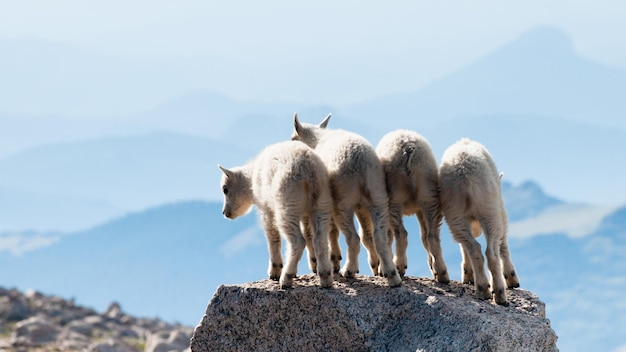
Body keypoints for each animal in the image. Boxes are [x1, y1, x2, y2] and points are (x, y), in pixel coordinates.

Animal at [216, 140, 332, 288]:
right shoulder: (306, 212)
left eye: (225, 189)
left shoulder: (266, 208)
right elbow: (309, 233)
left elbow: (272, 235)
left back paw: (286, 278)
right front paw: (313, 263)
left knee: (298, 240)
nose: (225, 213)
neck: (252, 179)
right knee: (319, 238)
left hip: (287, 204)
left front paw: (275, 271)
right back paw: (325, 277)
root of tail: (310, 171)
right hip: (322, 202)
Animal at [292, 114, 400, 288]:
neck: (316, 140)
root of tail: (360, 164)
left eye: (293, 138)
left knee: (353, 237)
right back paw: (392, 276)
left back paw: (349, 270)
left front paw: (332, 262)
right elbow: (367, 235)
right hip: (377, 194)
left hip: (343, 199)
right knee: (379, 236)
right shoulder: (362, 207)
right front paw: (375, 265)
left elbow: (330, 231)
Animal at [436, 138, 520, 306]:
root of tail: (465, 176)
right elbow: (504, 243)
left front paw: (468, 276)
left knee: (472, 247)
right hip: (490, 209)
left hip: (455, 212)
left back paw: (482, 288)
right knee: (492, 251)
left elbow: (464, 247)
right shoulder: (500, 208)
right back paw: (499, 292)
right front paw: (512, 278)